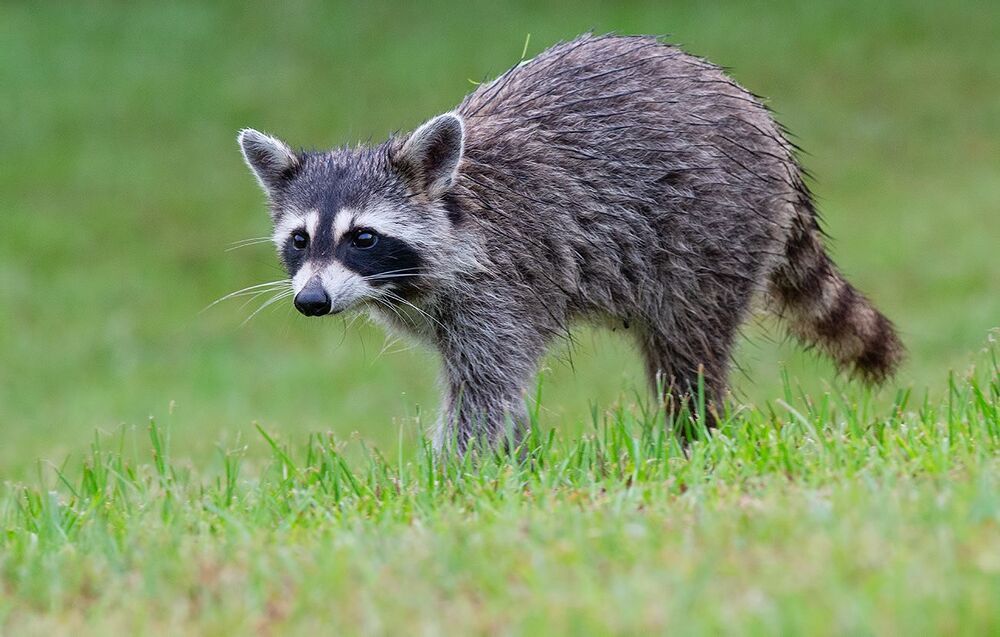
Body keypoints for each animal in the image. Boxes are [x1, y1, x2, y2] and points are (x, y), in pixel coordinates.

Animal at [237, 34, 903, 451]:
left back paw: (696, 434)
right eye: (300, 240)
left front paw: (454, 476)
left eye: (363, 237)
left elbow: (487, 389)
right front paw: (508, 462)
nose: (312, 301)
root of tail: (768, 130)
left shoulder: (504, 284)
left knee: (688, 349)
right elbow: (496, 391)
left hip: (714, 232)